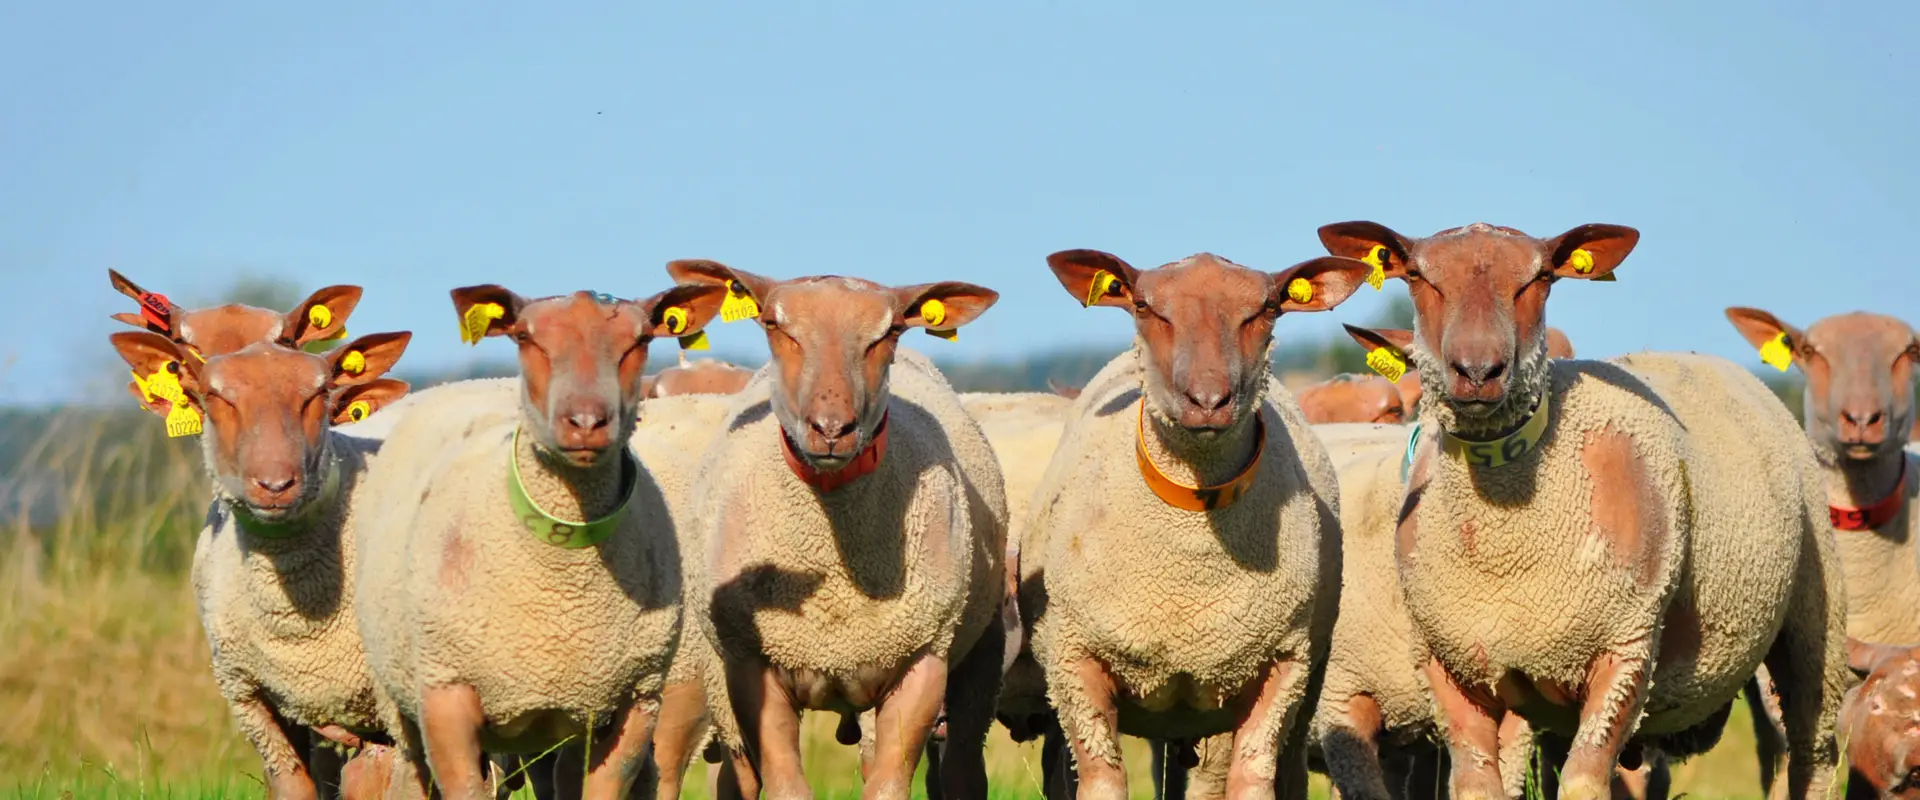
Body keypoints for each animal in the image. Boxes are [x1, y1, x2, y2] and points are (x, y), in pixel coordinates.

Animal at [352, 283, 726, 800]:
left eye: (641, 340)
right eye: (526, 337)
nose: (586, 421)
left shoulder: (635, 699)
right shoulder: (446, 696)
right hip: (403, 695)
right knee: (409, 778)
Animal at [664, 259, 1007, 800]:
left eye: (889, 332)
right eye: (773, 324)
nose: (830, 429)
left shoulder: (922, 659)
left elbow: (888, 787)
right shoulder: (752, 667)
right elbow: (785, 787)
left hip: (977, 647)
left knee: (962, 769)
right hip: (721, 683)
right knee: (737, 779)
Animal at [1019, 248, 1373, 800]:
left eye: (1267, 309)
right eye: (1144, 306)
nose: (1208, 400)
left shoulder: (1281, 663)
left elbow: (1252, 780)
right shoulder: (1074, 658)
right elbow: (1102, 779)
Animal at [1324, 219, 1848, 800]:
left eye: (1540, 278)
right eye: (1417, 275)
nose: (1479, 371)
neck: (1502, 542)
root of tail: (1705, 360)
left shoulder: (1627, 647)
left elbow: (1582, 782)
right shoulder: (1450, 665)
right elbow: (1477, 784)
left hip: (1812, 626)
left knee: (1809, 756)